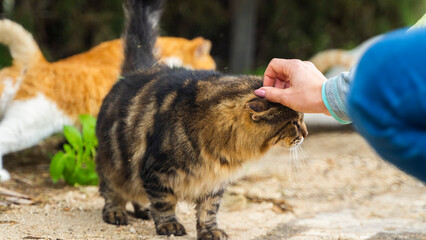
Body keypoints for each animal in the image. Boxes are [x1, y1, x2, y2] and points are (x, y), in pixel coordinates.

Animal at [97, 0, 308, 240]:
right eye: (294, 123)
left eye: (301, 119)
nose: (305, 133)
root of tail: (140, 70)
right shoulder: (156, 172)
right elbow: (164, 203)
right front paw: (169, 225)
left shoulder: (213, 183)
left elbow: (208, 210)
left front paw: (210, 230)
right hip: (113, 163)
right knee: (112, 191)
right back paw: (116, 212)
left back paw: (142, 211)